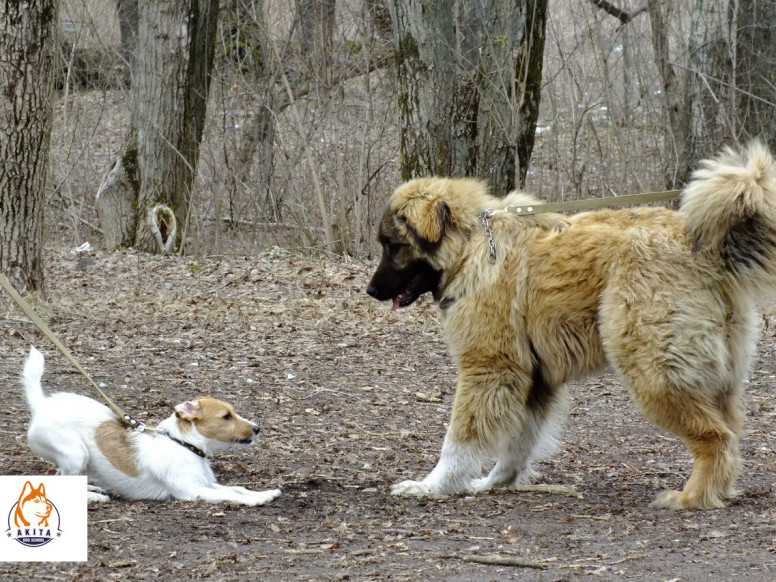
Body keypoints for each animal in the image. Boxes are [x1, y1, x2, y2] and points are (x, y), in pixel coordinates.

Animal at [21, 346, 282, 506]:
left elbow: (237, 488)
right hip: (76, 454)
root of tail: (41, 404)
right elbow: (232, 494)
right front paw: (257, 500)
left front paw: (265, 493)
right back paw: (92, 498)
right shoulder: (193, 490)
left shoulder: (207, 484)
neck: (184, 445)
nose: (257, 428)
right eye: (226, 417)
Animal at [366, 144, 776, 508]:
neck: (473, 245)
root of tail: (705, 254)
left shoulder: (489, 369)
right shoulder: (533, 379)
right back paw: (720, 490)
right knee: (730, 436)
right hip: (718, 377)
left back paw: (692, 497)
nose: (370, 291)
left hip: (654, 373)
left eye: (393, 246)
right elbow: (517, 443)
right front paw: (496, 482)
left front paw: (432, 485)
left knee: (715, 437)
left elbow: (459, 440)